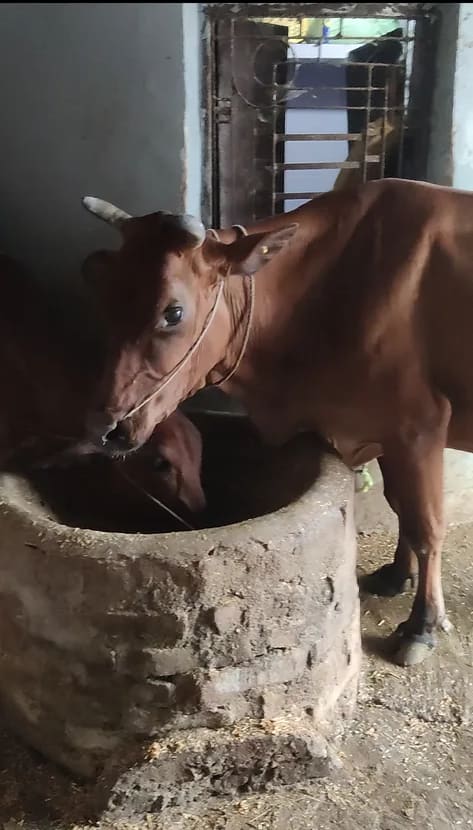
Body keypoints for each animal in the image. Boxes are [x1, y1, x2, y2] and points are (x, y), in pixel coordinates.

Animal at [80, 178, 473, 668]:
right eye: (106, 299)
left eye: (173, 312)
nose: (105, 427)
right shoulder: (384, 429)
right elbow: (400, 506)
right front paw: (396, 575)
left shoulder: (418, 425)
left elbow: (425, 524)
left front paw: (423, 625)